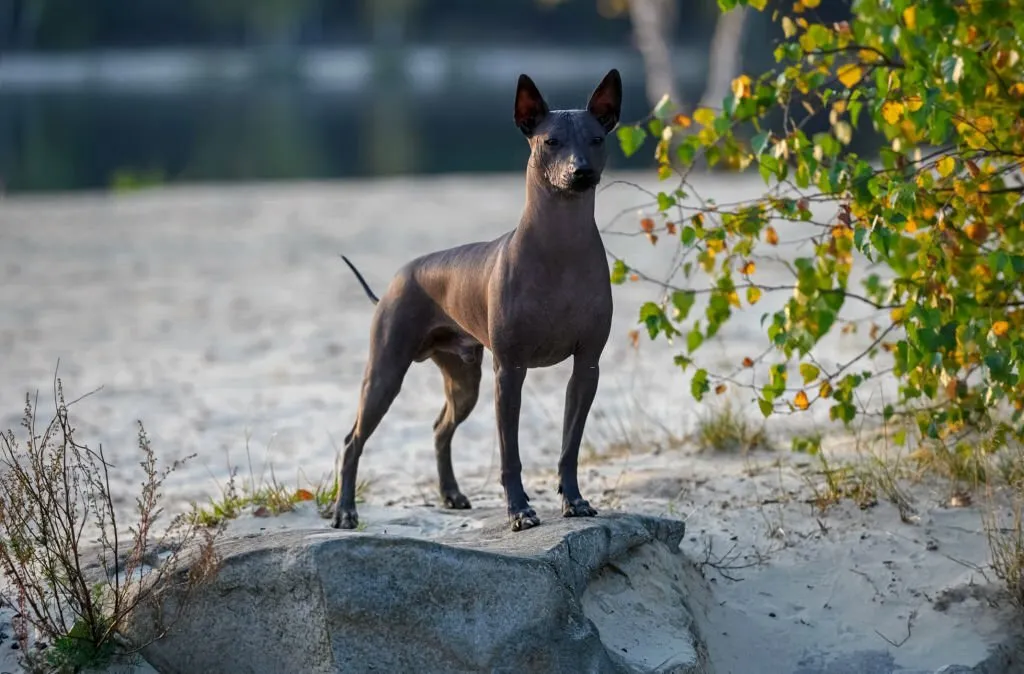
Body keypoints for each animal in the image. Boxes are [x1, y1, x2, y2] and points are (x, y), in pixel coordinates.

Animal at [337, 68, 622, 528]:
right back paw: (345, 511)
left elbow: (569, 447)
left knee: (440, 429)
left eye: (597, 139)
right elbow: (511, 455)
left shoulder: (587, 367)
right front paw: (519, 510)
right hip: (385, 373)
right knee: (352, 440)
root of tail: (400, 277)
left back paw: (451, 494)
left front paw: (574, 501)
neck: (561, 248)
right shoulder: (509, 371)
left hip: (463, 381)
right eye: (551, 142)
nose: (580, 172)